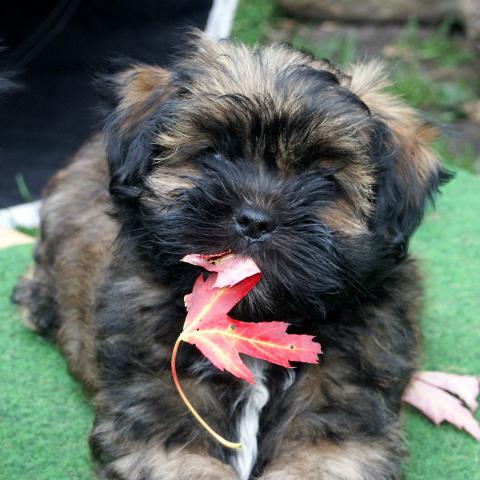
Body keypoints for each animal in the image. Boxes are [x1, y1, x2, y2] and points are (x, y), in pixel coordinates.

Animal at [13, 34, 452, 480]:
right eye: (216, 155)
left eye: (323, 180)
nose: (256, 221)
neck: (253, 323)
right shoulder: (156, 431)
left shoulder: (344, 437)